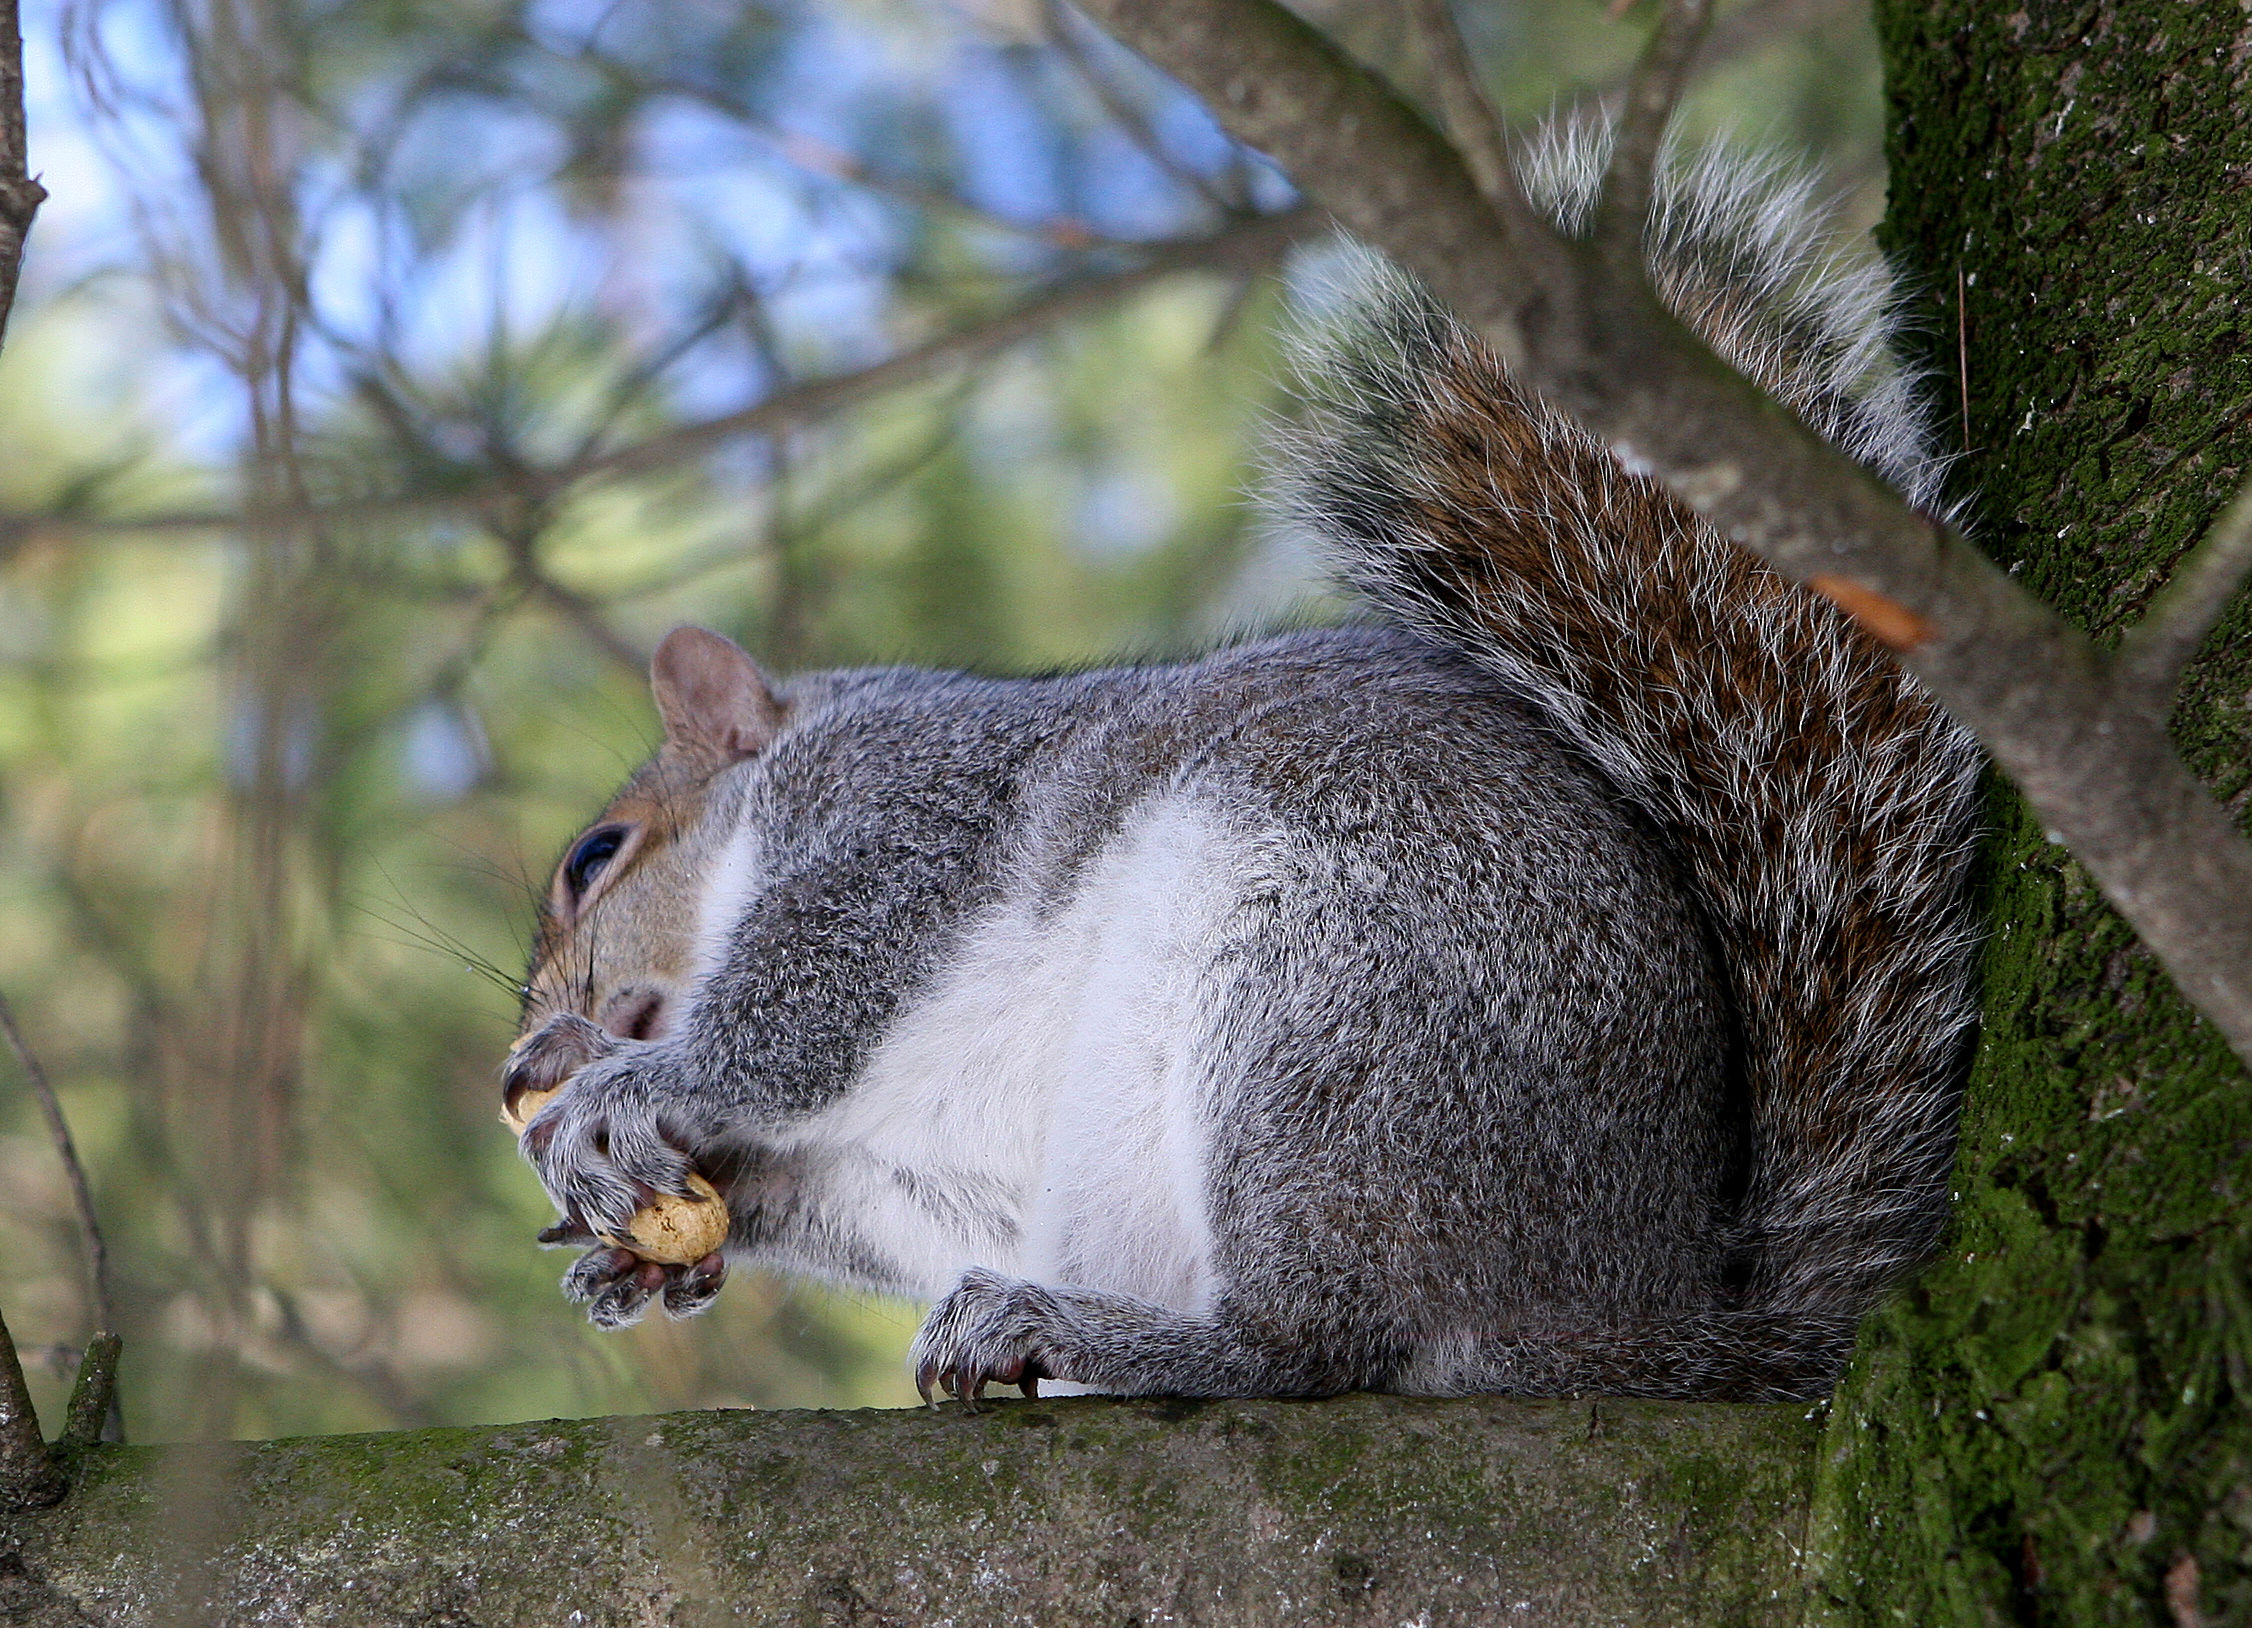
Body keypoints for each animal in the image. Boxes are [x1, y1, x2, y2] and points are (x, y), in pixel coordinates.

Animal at [500, 118, 1984, 1405]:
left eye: (594, 856)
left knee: (1316, 1345)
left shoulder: (900, 810)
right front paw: (634, 1231)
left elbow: (804, 1003)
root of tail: (1632, 1310)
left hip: (1332, 1023)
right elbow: (830, 1189)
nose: (516, 1068)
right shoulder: (911, 1174)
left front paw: (627, 1086)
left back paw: (1081, 1329)